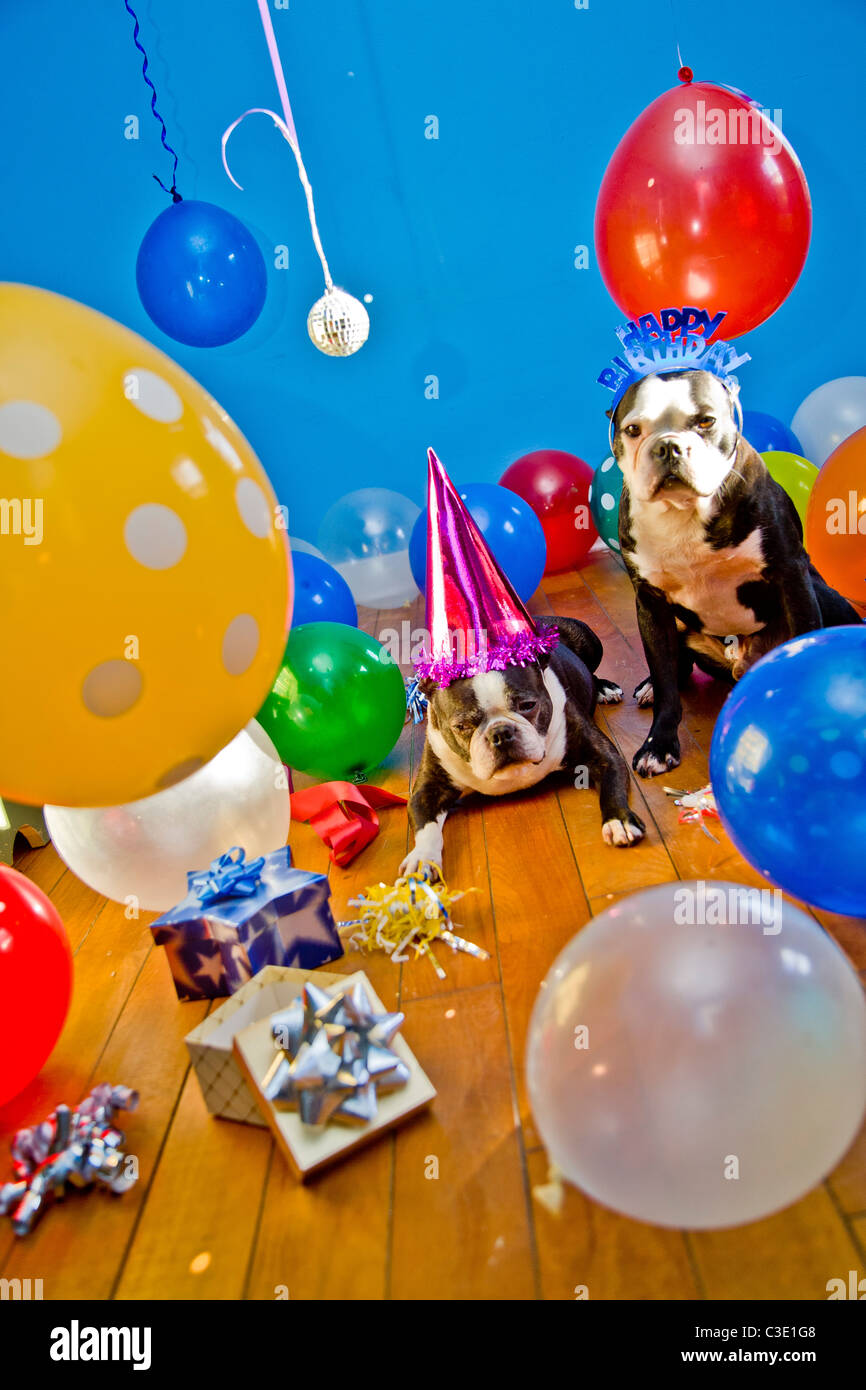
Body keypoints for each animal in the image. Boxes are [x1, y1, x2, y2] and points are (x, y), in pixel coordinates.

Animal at [403, 622, 647, 878]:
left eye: (528, 705)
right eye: (462, 726)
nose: (500, 733)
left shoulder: (602, 754)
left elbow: (612, 784)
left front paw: (619, 820)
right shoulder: (430, 787)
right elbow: (425, 824)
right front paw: (422, 857)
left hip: (589, 640)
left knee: (591, 671)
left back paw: (605, 688)